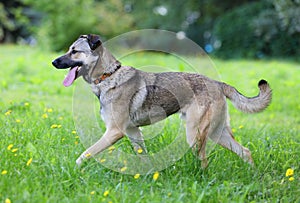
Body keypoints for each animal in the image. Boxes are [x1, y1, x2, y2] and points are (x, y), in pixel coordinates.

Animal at [51, 34, 272, 167]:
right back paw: (252, 174)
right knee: (245, 151)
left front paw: (75, 167)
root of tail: (218, 83)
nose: (53, 62)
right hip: (217, 133)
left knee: (204, 160)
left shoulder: (114, 132)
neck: (108, 75)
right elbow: (142, 155)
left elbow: (87, 152)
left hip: (195, 134)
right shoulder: (133, 132)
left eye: (74, 51)